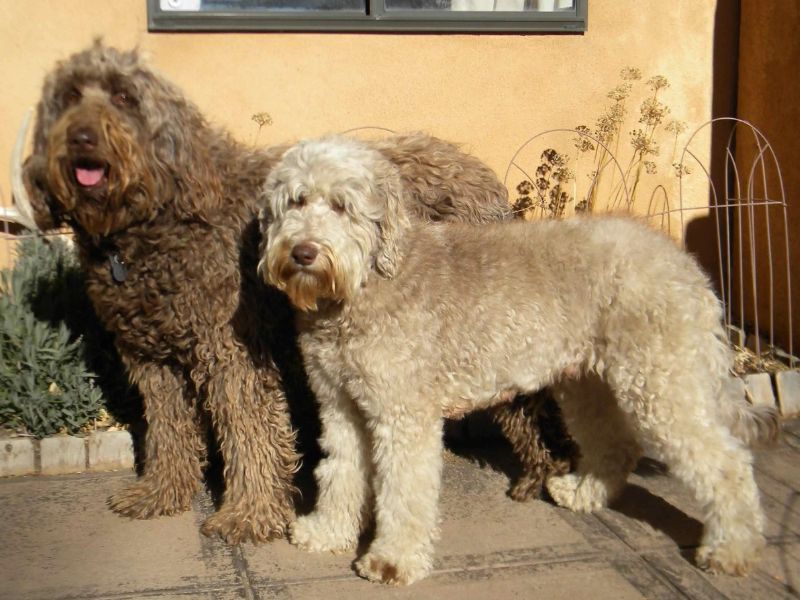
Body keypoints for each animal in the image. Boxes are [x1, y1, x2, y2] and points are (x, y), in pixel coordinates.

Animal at [21, 39, 572, 540]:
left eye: (124, 96)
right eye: (70, 96)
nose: (83, 138)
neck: (156, 218)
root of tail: (480, 174)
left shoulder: (232, 352)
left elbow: (249, 433)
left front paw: (248, 515)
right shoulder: (152, 359)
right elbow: (168, 430)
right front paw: (161, 493)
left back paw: (544, 473)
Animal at [260, 136, 780, 584]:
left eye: (342, 205)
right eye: (296, 201)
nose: (303, 252)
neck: (366, 283)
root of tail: (687, 266)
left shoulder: (402, 413)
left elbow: (403, 491)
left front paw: (392, 560)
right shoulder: (340, 404)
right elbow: (340, 471)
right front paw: (328, 532)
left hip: (661, 383)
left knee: (728, 464)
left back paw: (732, 549)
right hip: (589, 384)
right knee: (617, 443)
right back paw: (582, 492)